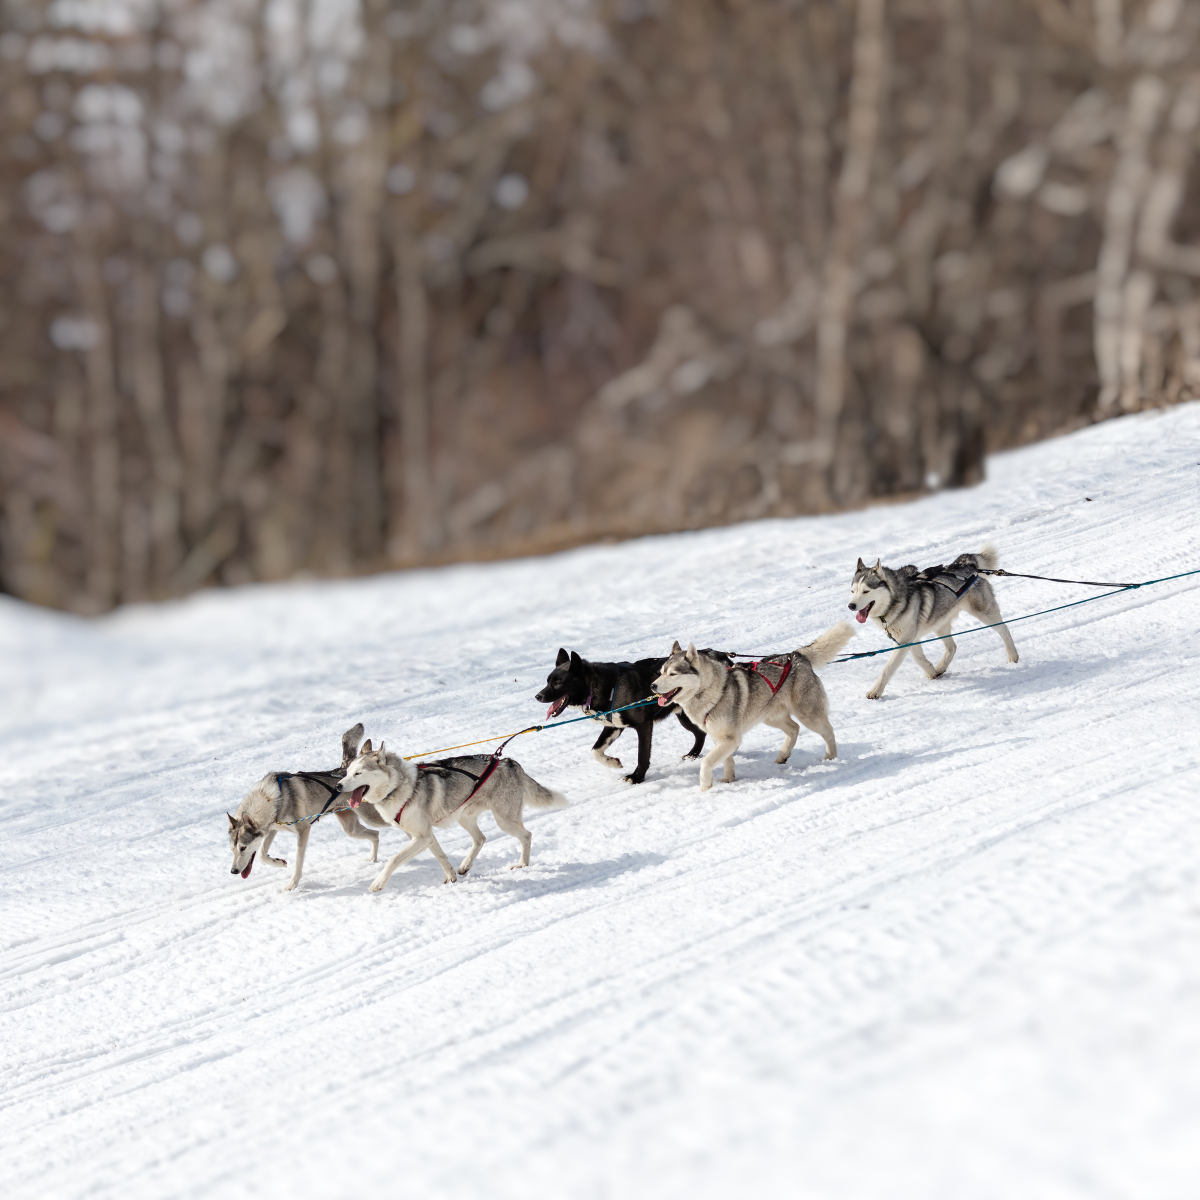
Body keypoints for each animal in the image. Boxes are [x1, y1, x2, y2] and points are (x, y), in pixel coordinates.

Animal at [540, 652, 715, 782]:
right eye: (547, 681)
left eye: (558, 683)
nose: (537, 696)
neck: (605, 687)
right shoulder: (614, 727)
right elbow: (595, 751)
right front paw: (613, 762)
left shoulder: (644, 726)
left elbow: (642, 755)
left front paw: (637, 777)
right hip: (685, 719)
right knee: (700, 734)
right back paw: (693, 755)